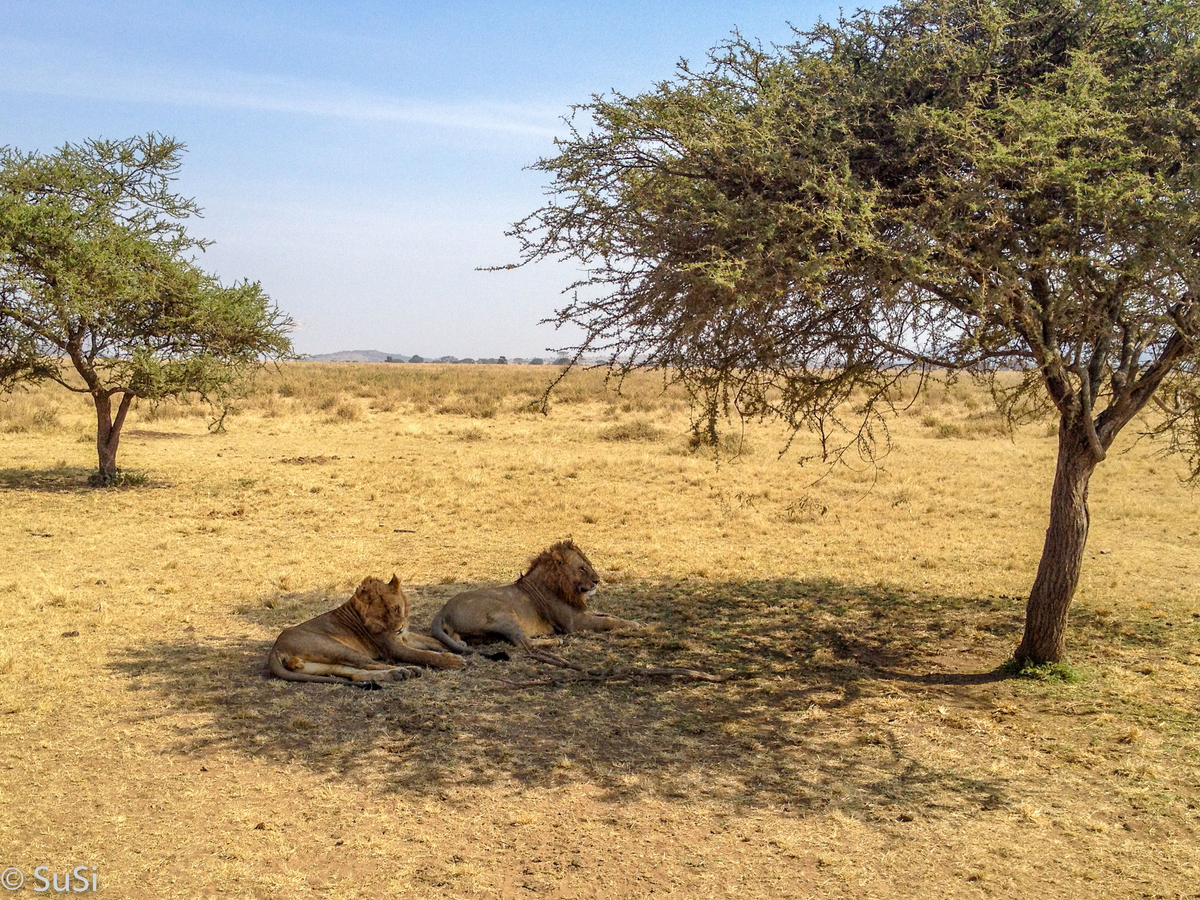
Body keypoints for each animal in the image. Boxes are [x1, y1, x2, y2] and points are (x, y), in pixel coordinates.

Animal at [267, 578, 463, 681]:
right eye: (382, 615)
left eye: (395, 609)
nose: (398, 628)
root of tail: (276, 649)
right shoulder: (394, 648)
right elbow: (423, 654)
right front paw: (452, 660)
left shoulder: (405, 636)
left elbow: (431, 641)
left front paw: (454, 645)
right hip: (336, 647)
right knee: (369, 664)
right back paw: (406, 670)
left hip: (318, 666)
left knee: (357, 674)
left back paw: (396, 673)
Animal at [432, 540, 638, 652]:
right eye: (581, 568)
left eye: (590, 564)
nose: (597, 581)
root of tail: (442, 611)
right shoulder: (575, 623)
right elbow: (607, 621)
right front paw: (634, 625)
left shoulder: (584, 612)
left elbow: (609, 615)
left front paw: (634, 622)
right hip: (504, 611)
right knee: (524, 643)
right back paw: (555, 641)